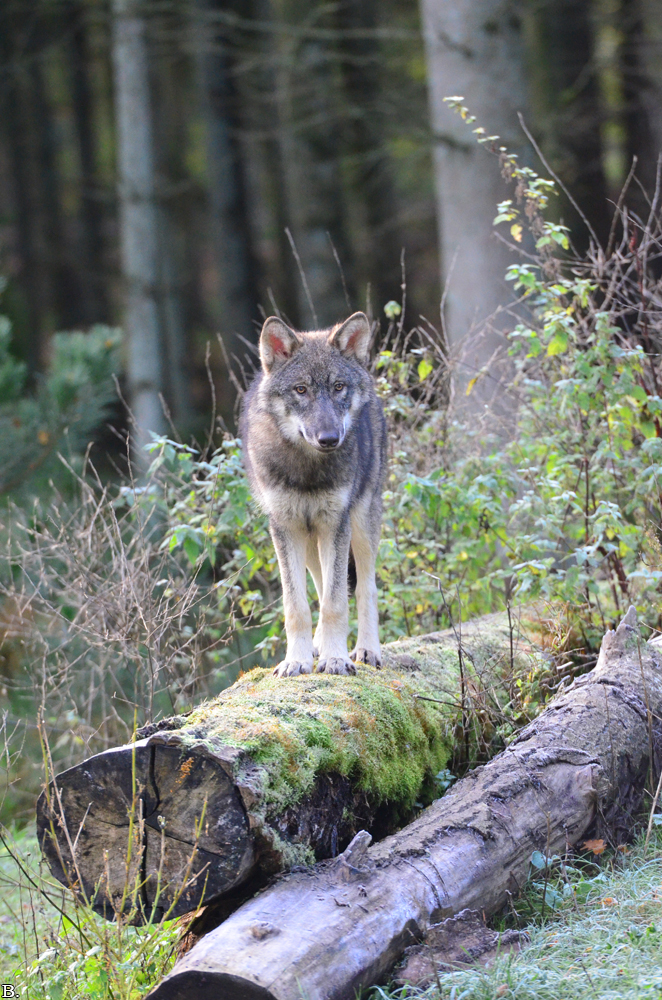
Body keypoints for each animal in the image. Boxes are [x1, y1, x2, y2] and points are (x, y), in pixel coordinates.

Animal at [240, 311, 387, 678]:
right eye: (301, 389)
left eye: (338, 387)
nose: (330, 438)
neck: (307, 470)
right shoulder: (285, 528)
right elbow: (298, 606)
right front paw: (297, 660)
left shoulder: (336, 523)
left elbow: (336, 602)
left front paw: (336, 659)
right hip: (309, 540)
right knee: (321, 587)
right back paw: (317, 646)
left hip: (360, 525)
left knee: (365, 588)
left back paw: (366, 650)